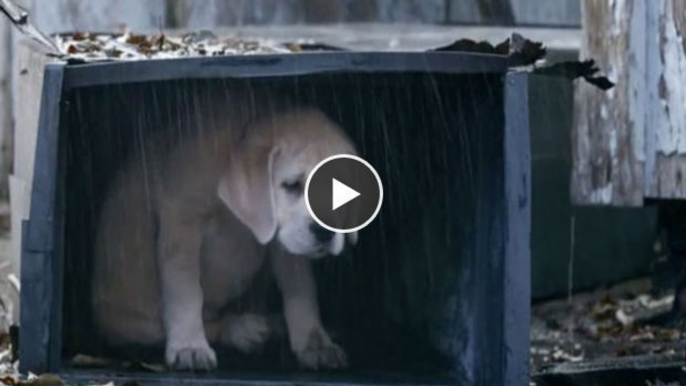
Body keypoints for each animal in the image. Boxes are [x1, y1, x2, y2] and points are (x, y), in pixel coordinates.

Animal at [91, 106, 358, 370]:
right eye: (292, 185)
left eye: (343, 190)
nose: (325, 232)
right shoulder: (181, 222)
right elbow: (186, 291)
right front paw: (190, 346)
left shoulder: (286, 238)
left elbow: (301, 289)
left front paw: (315, 343)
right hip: (132, 321)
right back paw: (241, 329)